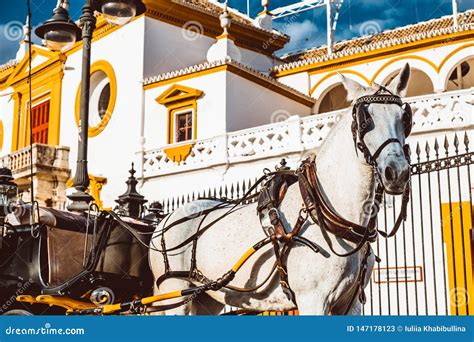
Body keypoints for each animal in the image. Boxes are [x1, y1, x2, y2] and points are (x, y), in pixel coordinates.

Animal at [148, 62, 412, 314]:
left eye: (404, 118)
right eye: (365, 120)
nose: (396, 172)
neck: (324, 211)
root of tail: (165, 220)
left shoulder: (351, 303)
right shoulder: (312, 300)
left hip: (208, 296)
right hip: (174, 294)